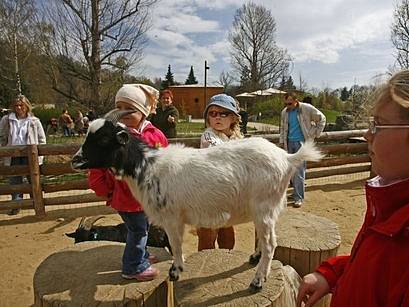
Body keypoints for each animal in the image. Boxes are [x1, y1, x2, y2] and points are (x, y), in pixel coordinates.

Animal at [72, 110, 322, 292]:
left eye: (104, 138)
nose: (75, 160)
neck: (148, 166)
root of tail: (287, 158)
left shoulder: (172, 218)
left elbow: (176, 244)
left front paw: (176, 271)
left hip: (264, 205)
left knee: (271, 243)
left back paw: (258, 281)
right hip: (265, 209)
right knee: (264, 237)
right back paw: (255, 258)